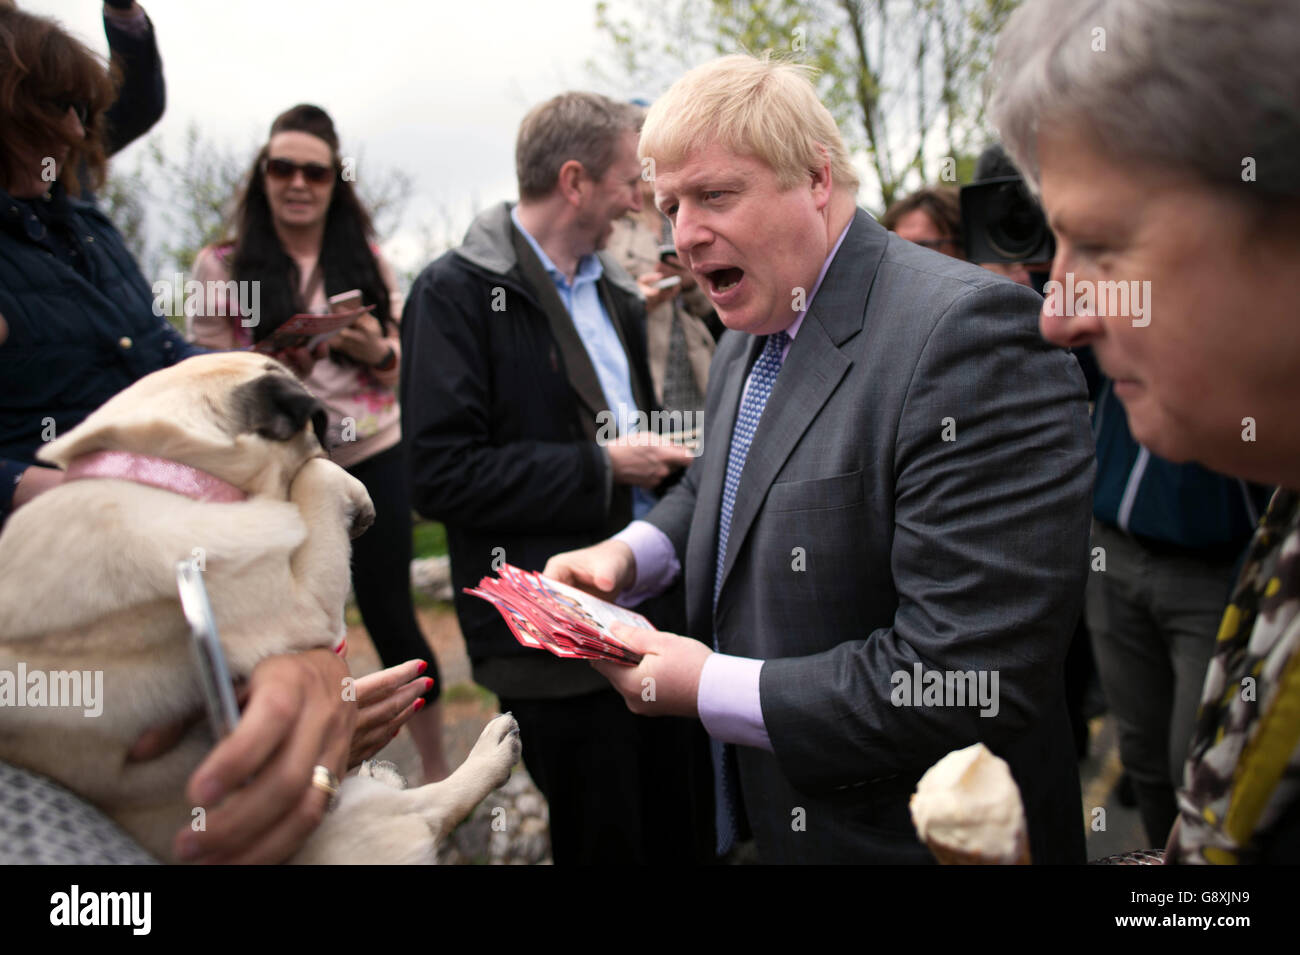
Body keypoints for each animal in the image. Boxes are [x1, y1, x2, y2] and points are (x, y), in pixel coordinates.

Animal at [0, 356, 517, 862]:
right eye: (319, 425)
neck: (158, 471)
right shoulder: (298, 609)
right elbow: (315, 477)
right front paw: (351, 491)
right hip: (363, 821)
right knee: (434, 809)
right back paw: (489, 753)